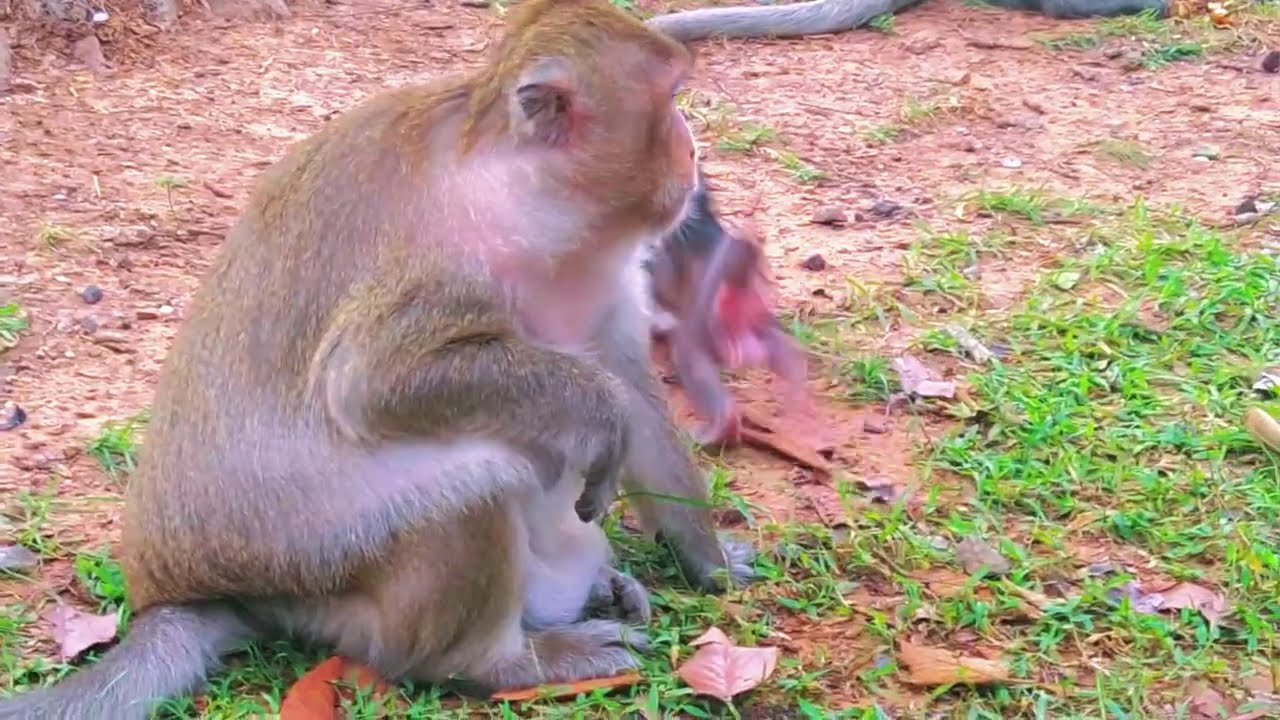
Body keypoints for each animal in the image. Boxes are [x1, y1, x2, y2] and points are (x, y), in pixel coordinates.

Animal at [0, 2, 754, 718]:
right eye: (672, 96)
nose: (693, 152)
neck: (534, 201)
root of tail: (211, 598)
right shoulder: (443, 258)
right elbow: (371, 383)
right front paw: (598, 414)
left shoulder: (606, 270)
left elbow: (635, 393)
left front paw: (712, 563)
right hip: (329, 589)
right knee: (478, 483)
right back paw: (509, 663)